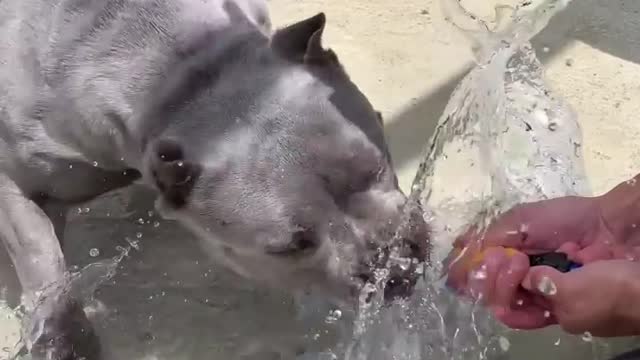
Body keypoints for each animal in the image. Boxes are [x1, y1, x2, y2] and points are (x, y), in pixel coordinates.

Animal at [0, 1, 430, 358]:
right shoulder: (15, 186)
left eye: (375, 166)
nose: (391, 264)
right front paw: (63, 340)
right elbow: (44, 263)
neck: (182, 76)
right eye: (294, 246)